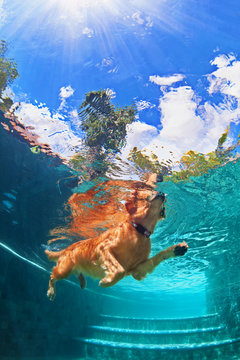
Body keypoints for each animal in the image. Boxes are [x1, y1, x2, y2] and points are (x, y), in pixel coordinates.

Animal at [45, 173, 188, 300]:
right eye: (146, 194)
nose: (162, 193)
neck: (139, 232)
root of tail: (66, 248)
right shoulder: (104, 248)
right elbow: (120, 270)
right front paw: (106, 281)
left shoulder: (137, 270)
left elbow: (158, 256)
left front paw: (177, 249)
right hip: (64, 269)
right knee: (52, 275)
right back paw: (51, 291)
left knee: (76, 273)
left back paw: (82, 282)